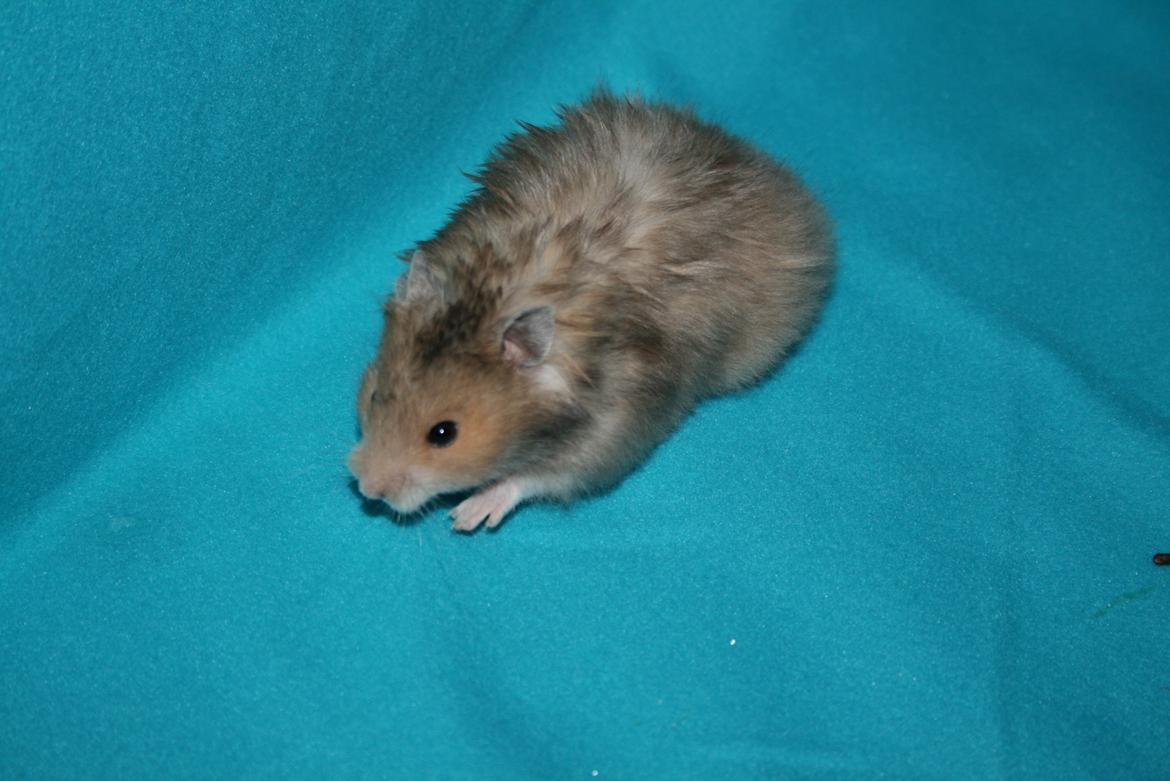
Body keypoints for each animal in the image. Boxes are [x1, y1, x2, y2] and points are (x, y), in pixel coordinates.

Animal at [348, 90, 834, 532]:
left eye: (443, 434)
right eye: (373, 396)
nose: (367, 488)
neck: (497, 292)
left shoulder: (614, 428)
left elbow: (539, 476)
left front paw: (468, 515)